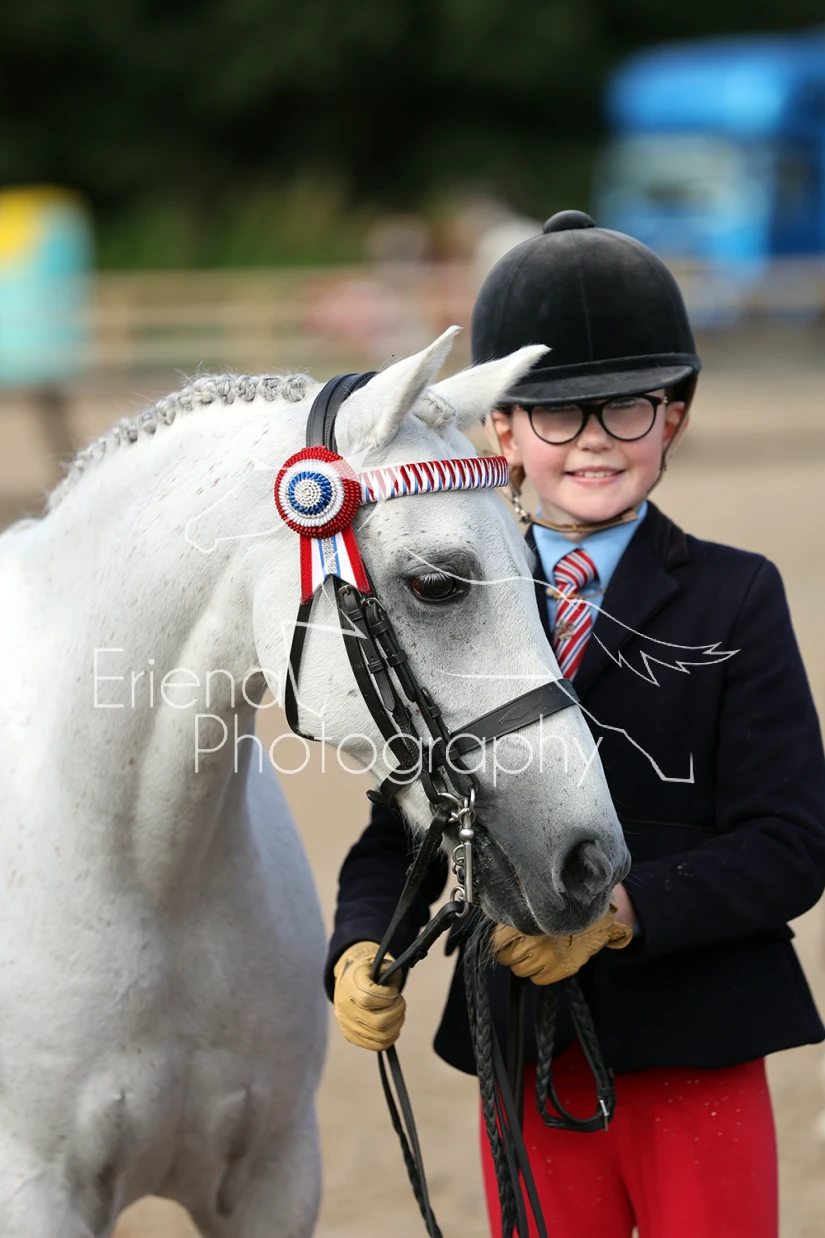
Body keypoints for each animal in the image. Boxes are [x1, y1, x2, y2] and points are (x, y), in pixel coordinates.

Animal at [0, 327, 629, 1237]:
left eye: (535, 566)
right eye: (436, 582)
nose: (590, 862)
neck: (141, 874)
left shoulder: (273, 1179)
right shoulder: (34, 1195)